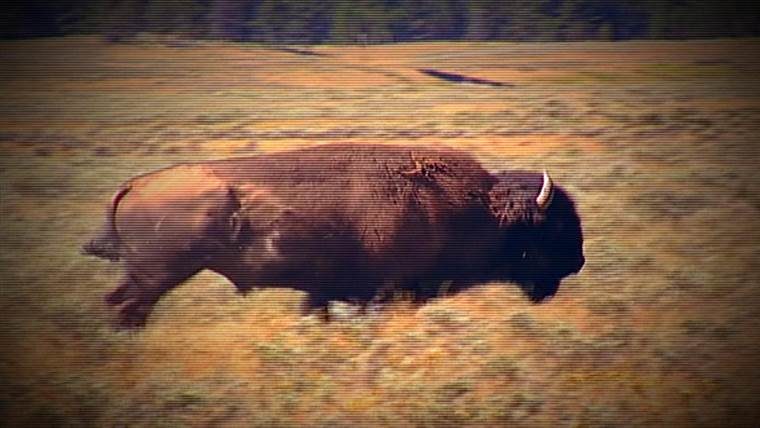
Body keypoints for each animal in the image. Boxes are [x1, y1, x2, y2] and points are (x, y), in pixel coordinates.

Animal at [83, 144, 584, 328]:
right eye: (557, 225)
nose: (577, 261)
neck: (478, 208)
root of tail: (138, 183)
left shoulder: (328, 291)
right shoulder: (383, 291)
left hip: (149, 274)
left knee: (120, 303)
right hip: (160, 274)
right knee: (131, 307)